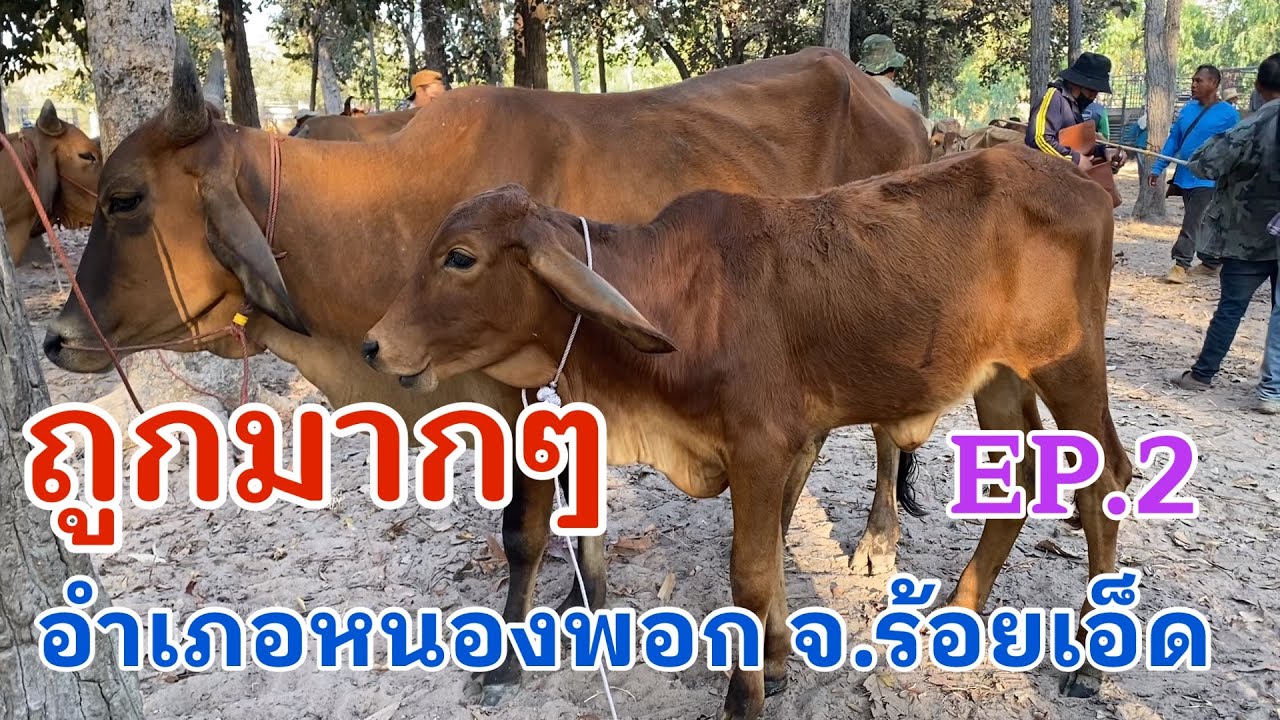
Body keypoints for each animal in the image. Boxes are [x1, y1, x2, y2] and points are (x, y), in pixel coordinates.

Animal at [43, 40, 932, 701]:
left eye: (124, 199)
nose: (56, 339)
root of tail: (895, 100)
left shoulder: (520, 389)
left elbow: (523, 531)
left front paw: (506, 660)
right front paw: (584, 599)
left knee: (889, 432)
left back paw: (875, 540)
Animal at [362, 143, 1131, 719]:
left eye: (460, 257)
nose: (374, 345)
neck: (679, 301)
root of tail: (1084, 186)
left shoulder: (761, 448)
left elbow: (751, 572)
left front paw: (744, 694)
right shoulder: (771, 450)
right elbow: (769, 562)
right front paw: (777, 661)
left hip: (1071, 369)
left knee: (1104, 483)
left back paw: (1089, 666)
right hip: (999, 378)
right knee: (1022, 481)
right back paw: (965, 609)